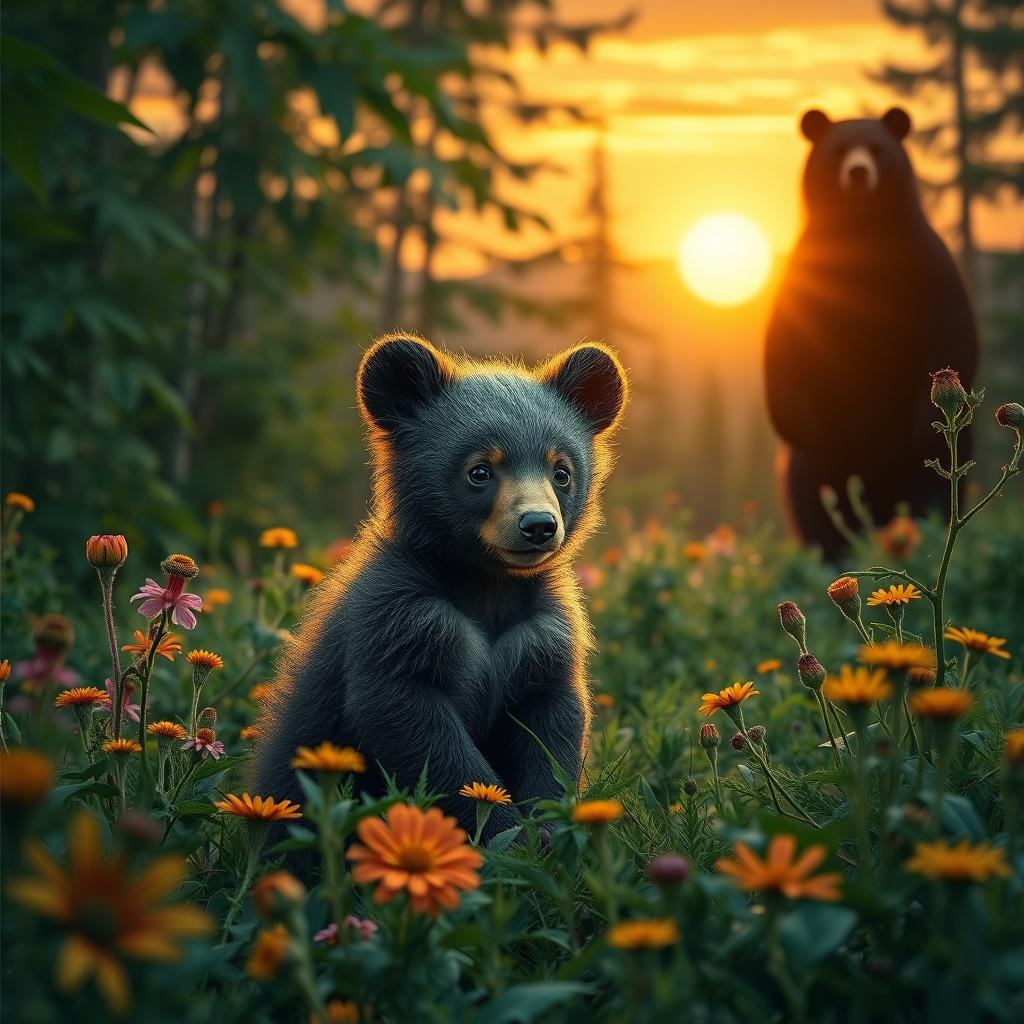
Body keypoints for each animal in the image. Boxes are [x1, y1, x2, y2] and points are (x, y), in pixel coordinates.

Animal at [252, 334, 628, 863]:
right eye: (480, 470)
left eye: (561, 471)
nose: (538, 526)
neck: (487, 585)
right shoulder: (400, 619)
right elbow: (417, 728)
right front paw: (507, 837)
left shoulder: (542, 635)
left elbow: (552, 725)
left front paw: (548, 830)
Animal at [765, 106, 978, 559]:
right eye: (839, 150)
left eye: (878, 149)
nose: (859, 172)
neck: (862, 233)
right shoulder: (804, 282)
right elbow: (784, 352)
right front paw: (806, 428)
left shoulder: (928, 272)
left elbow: (953, 336)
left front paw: (925, 424)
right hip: (811, 472)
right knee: (815, 506)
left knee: (932, 490)